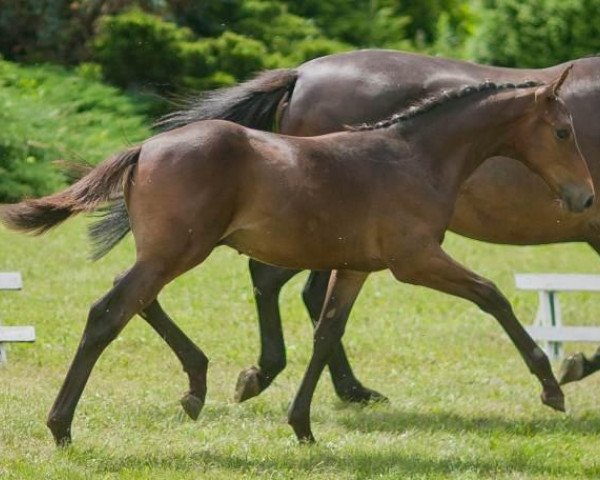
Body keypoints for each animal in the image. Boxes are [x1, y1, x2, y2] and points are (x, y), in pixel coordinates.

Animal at [0, 67, 592, 442]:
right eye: (564, 131)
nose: (584, 197)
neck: (415, 157)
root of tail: (146, 146)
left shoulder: (356, 268)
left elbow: (327, 331)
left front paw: (302, 424)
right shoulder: (415, 261)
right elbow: (494, 297)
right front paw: (551, 386)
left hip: (171, 251)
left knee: (134, 301)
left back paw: (197, 386)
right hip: (178, 251)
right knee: (108, 312)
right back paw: (62, 426)